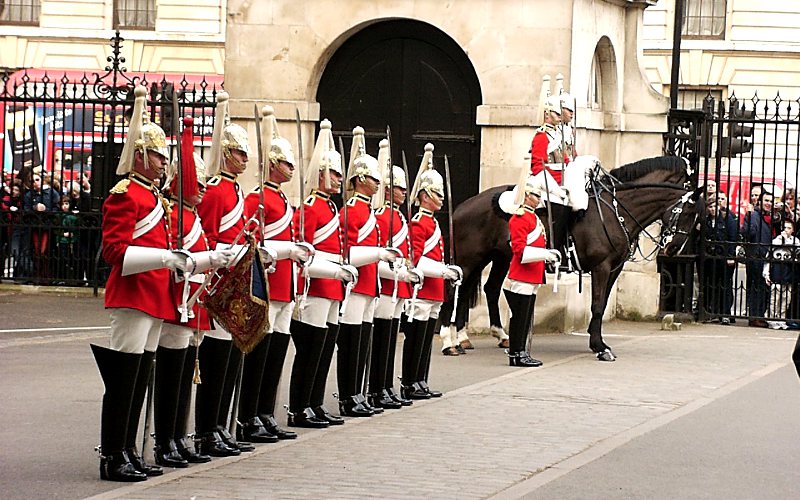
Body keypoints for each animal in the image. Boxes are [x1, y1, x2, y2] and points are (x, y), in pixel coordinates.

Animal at [440, 155, 704, 360]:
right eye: (688, 213)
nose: (673, 249)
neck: (615, 210)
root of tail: (463, 206)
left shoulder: (614, 269)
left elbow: (602, 303)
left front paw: (597, 341)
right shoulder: (601, 267)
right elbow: (596, 304)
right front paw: (599, 347)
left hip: (498, 257)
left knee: (487, 289)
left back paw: (484, 336)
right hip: (470, 258)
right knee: (454, 290)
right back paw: (449, 342)